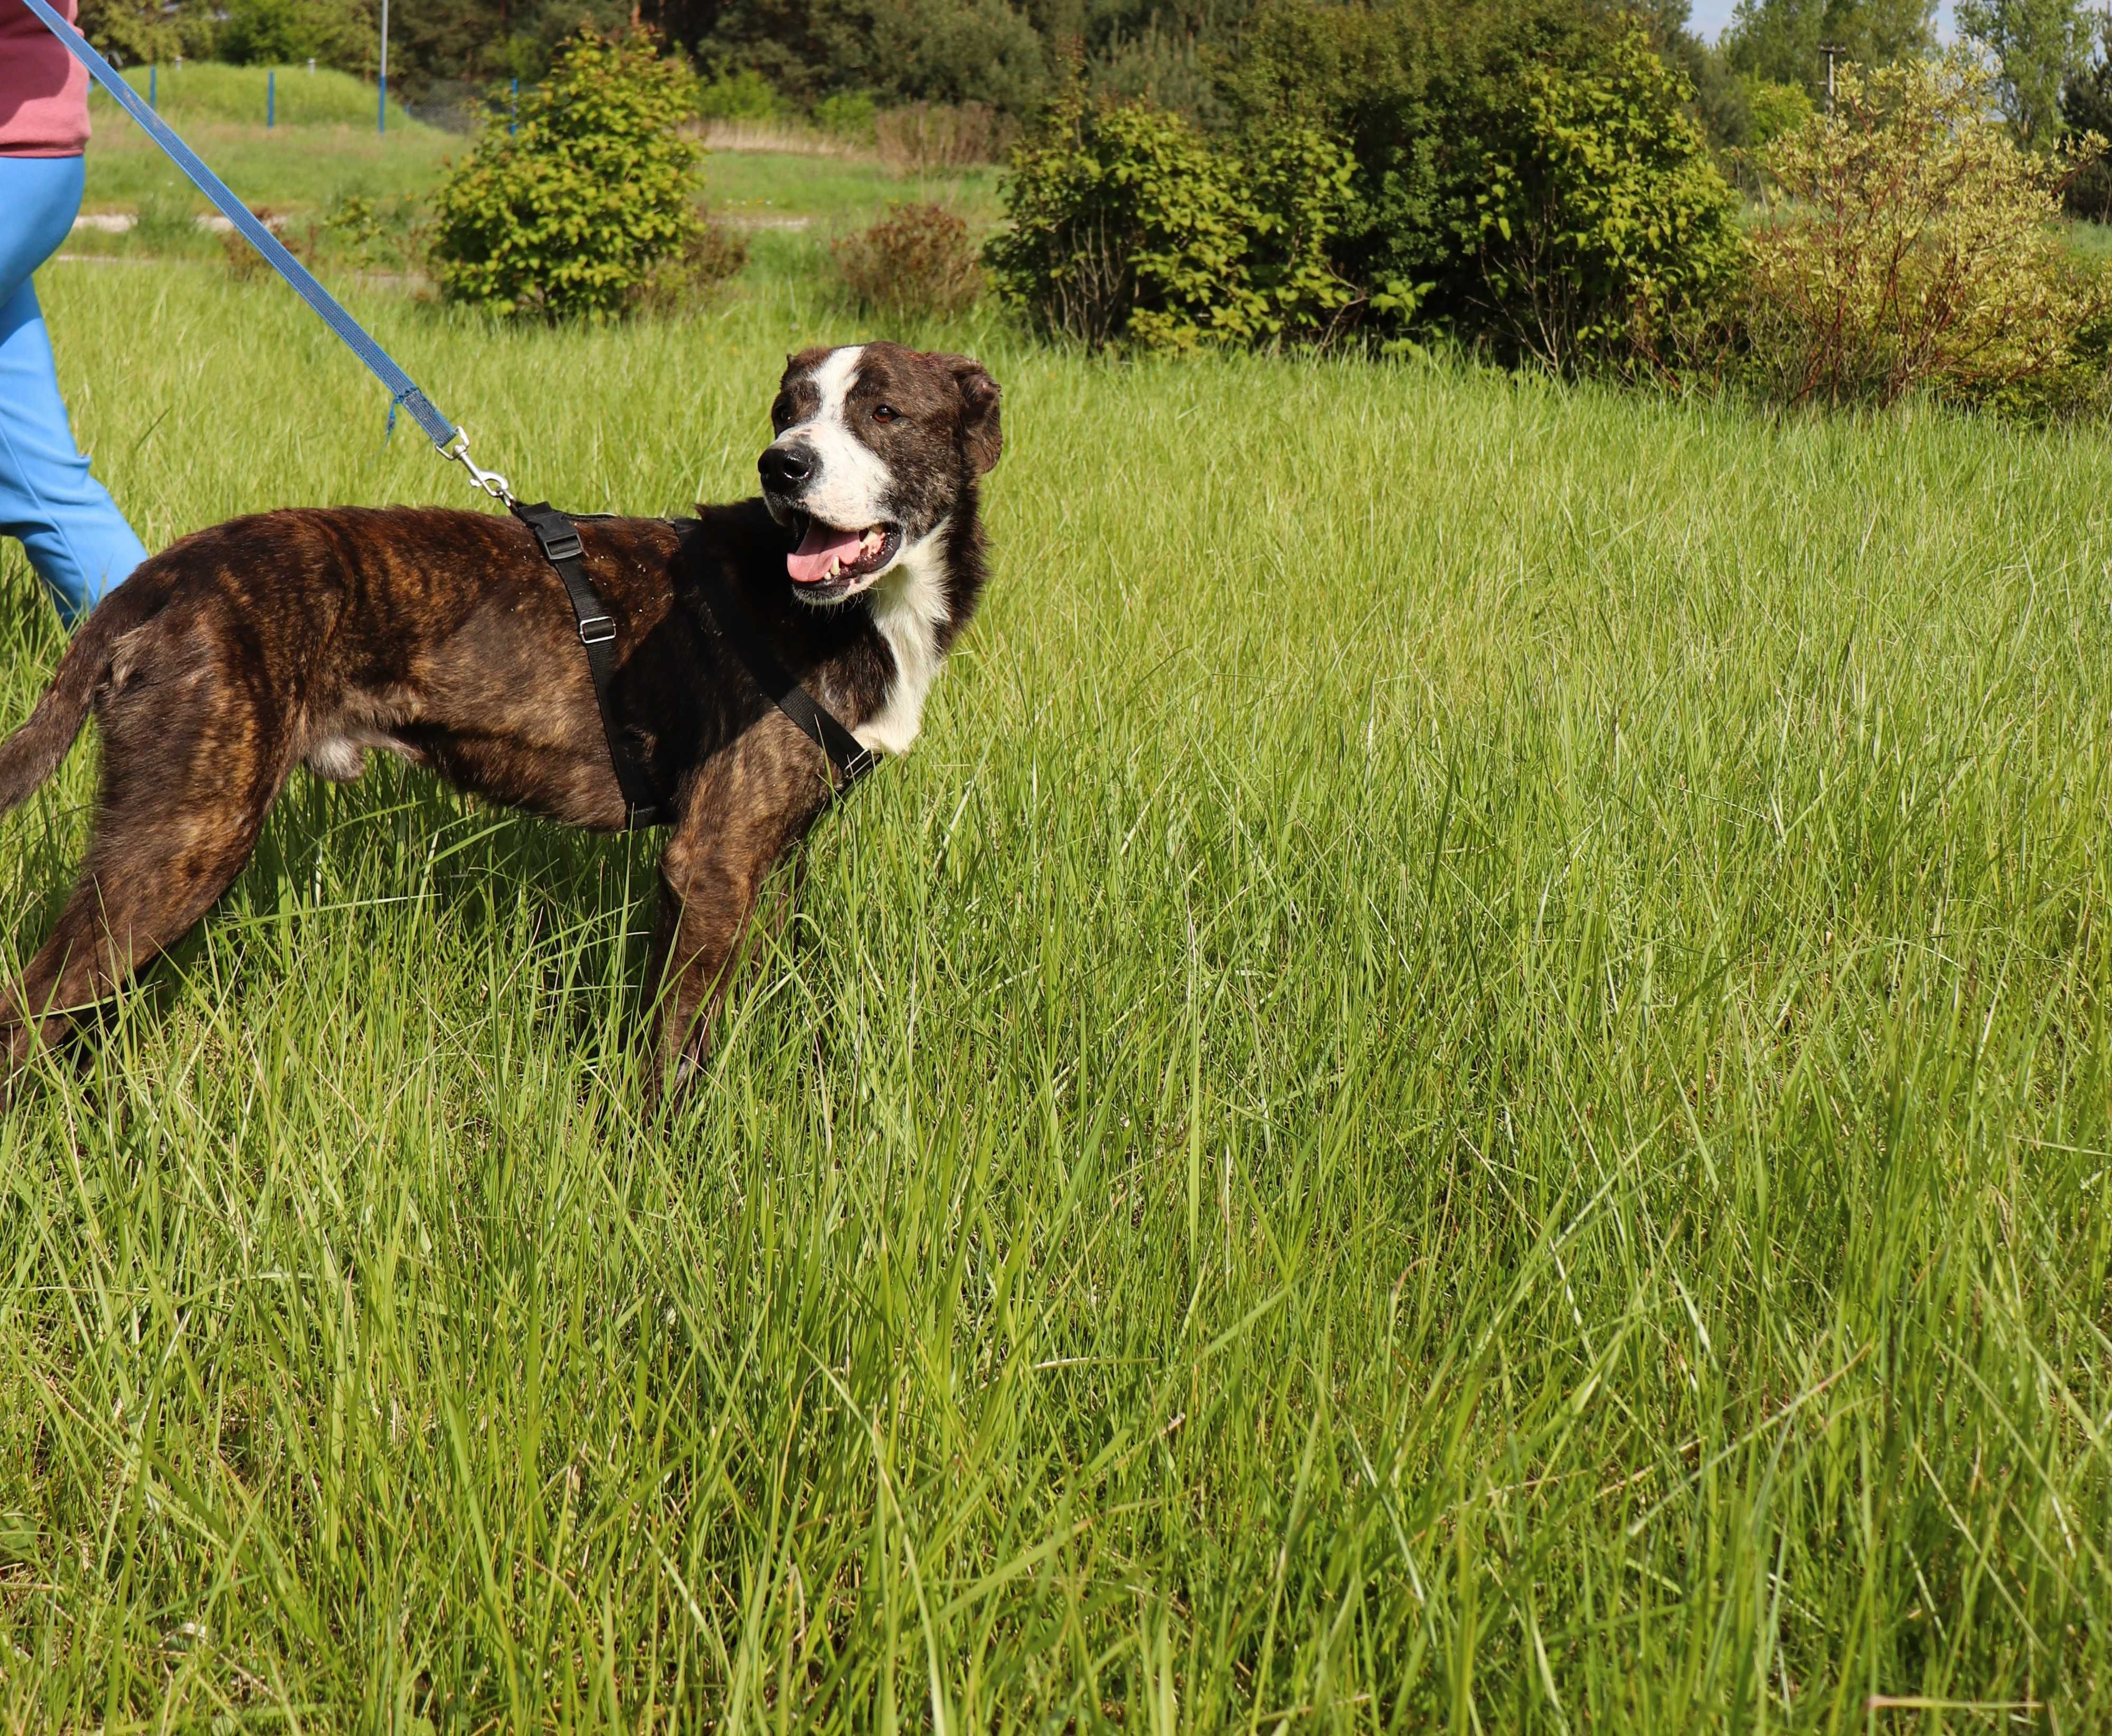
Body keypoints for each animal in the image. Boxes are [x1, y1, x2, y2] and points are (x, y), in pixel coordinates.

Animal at [0, 344, 1001, 1090]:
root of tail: (162, 575)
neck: (849, 607)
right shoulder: (711, 861)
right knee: (26, 1011)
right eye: (787, 411)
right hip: (184, 840)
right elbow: (672, 1058)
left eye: (884, 413)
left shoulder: (763, 858)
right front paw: (660, 1171)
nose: (782, 465)